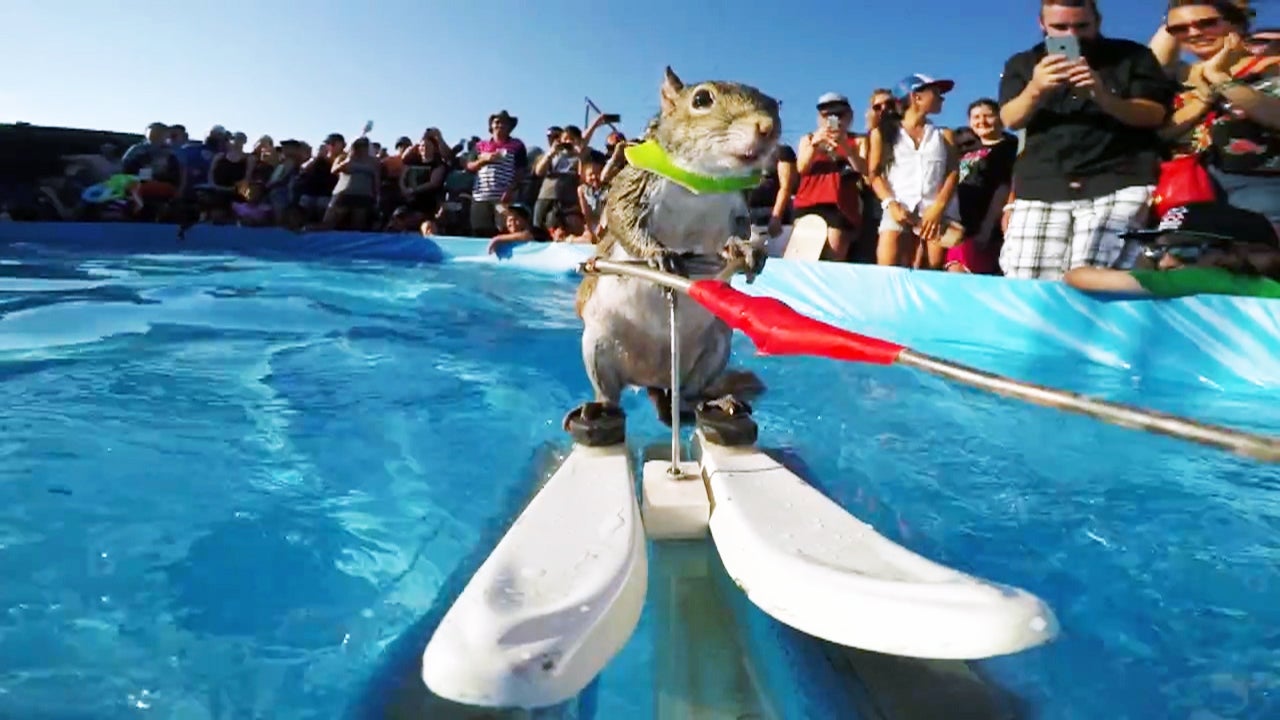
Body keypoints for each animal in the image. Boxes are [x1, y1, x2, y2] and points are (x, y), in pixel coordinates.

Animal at [570, 65, 778, 425]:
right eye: (702, 99)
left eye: (774, 105)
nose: (768, 128)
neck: (703, 183)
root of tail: (653, 380)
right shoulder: (635, 184)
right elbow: (622, 217)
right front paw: (658, 255)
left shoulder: (738, 207)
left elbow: (741, 230)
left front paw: (748, 250)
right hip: (598, 348)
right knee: (610, 394)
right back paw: (600, 407)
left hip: (714, 350)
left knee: (688, 399)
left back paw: (715, 402)